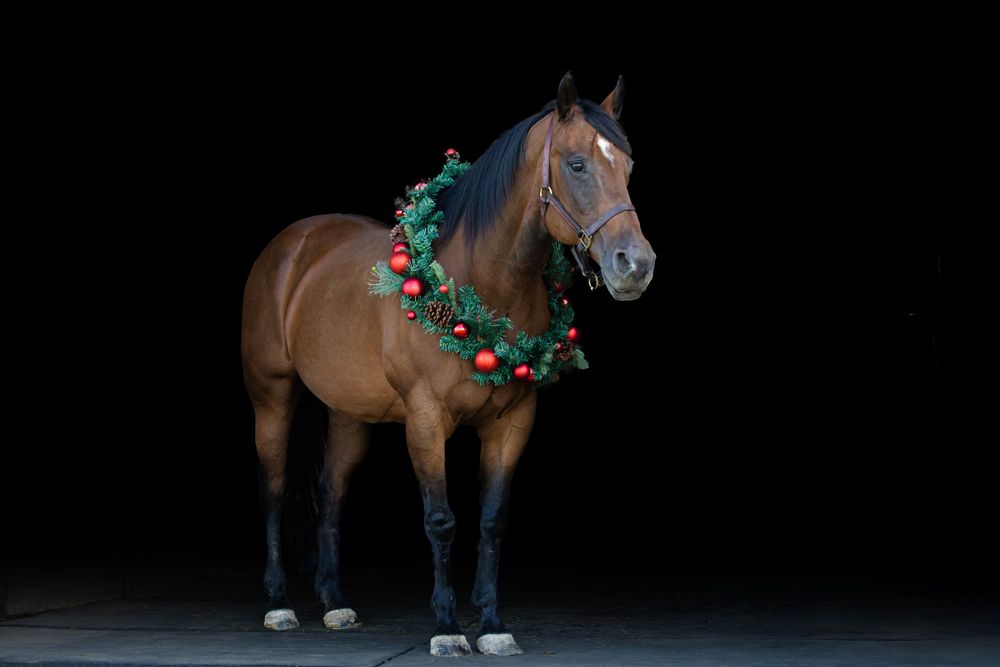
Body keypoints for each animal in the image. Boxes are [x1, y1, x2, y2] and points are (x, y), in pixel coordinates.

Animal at [241, 73, 655, 657]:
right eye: (577, 165)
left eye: (629, 167)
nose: (635, 265)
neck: (478, 281)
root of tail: (292, 245)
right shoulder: (425, 419)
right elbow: (440, 520)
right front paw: (447, 625)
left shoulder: (513, 422)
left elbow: (492, 520)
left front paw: (492, 624)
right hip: (271, 396)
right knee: (274, 488)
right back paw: (279, 603)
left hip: (349, 413)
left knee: (330, 492)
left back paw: (335, 602)